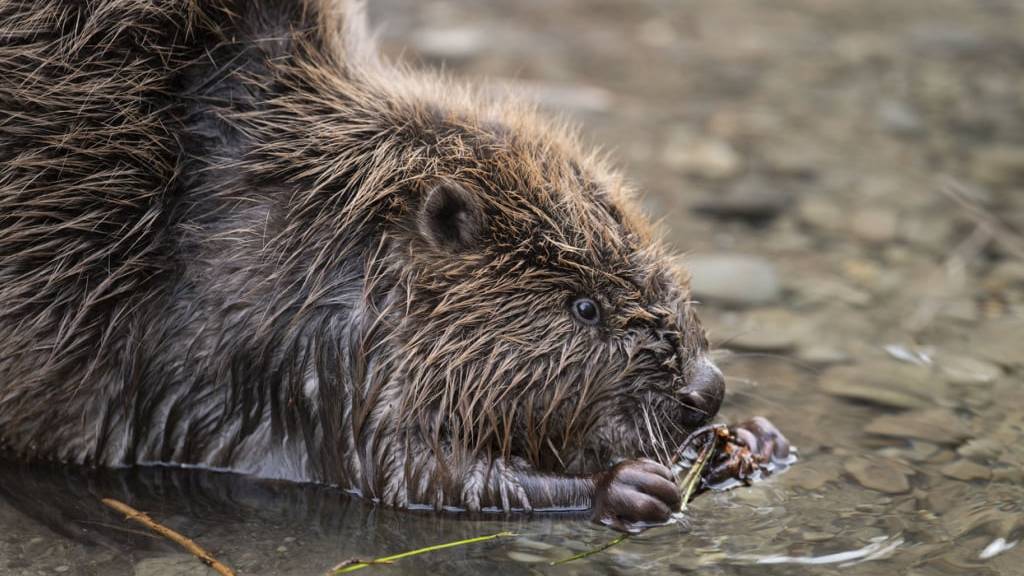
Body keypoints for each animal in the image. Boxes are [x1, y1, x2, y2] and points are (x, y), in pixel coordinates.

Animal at [0, 0, 790, 532]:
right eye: (583, 307)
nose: (706, 390)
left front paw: (754, 440)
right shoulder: (295, 355)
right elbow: (405, 471)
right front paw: (627, 485)